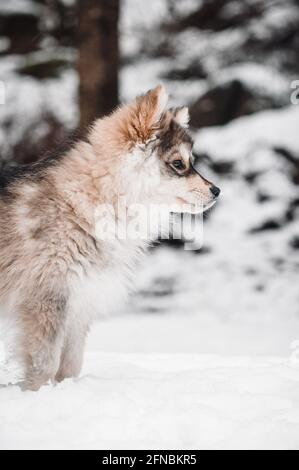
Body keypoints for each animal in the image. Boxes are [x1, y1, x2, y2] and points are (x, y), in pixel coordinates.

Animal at [0, 86, 220, 392]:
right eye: (179, 164)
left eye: (191, 163)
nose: (217, 191)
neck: (84, 203)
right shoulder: (46, 300)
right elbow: (44, 364)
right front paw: (37, 393)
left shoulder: (80, 302)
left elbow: (70, 365)